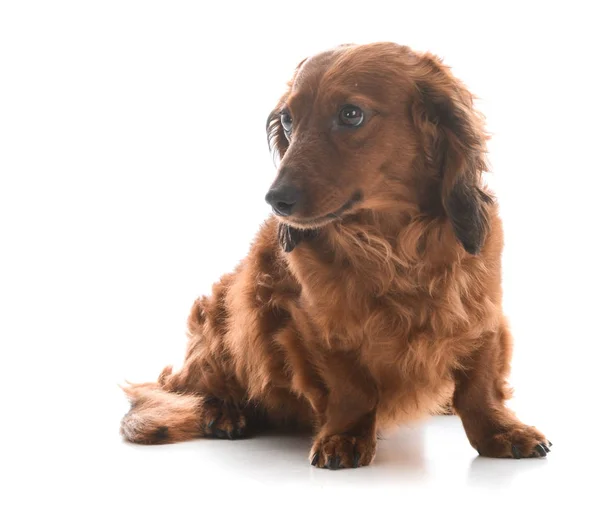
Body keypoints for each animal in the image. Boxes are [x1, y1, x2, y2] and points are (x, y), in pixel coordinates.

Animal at [122, 42, 552, 470]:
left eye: (351, 114)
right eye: (288, 119)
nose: (276, 200)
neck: (395, 248)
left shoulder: (482, 313)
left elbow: (479, 388)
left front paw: (501, 432)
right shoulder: (314, 325)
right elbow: (352, 387)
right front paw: (346, 436)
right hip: (221, 314)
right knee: (194, 388)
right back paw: (224, 411)